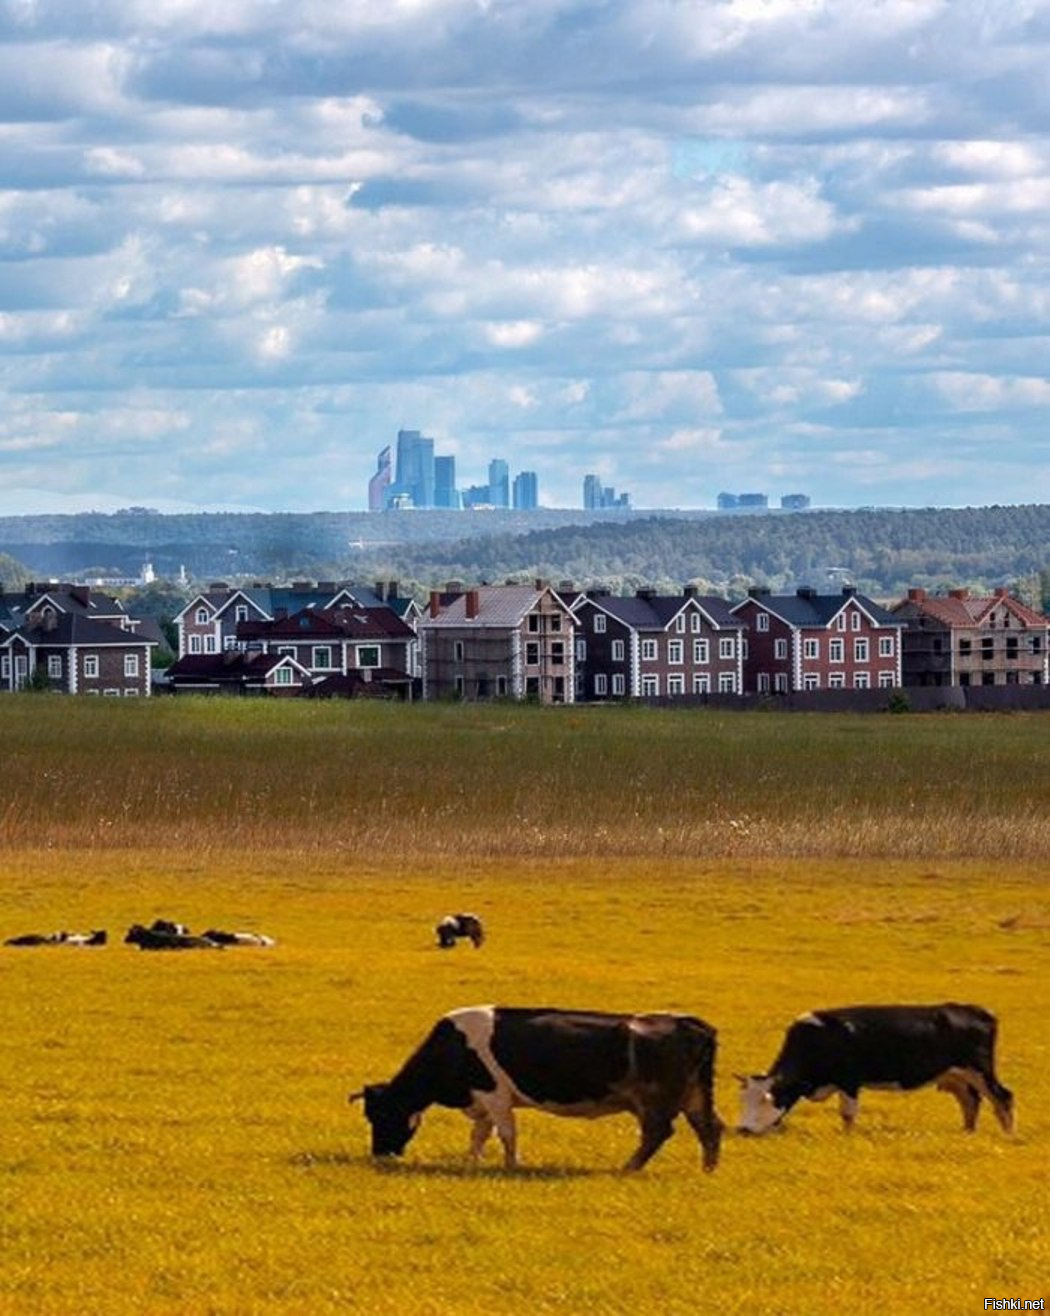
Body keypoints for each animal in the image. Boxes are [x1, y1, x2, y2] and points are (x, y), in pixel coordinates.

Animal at [352, 1005, 726, 1173]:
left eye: (381, 1115)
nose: (381, 1153)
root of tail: (688, 1022)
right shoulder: (481, 1100)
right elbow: (480, 1134)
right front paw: (472, 1160)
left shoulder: (495, 1094)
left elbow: (505, 1132)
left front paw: (512, 1164)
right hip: (695, 1094)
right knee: (710, 1127)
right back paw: (707, 1170)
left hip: (655, 1100)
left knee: (658, 1132)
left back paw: (627, 1168)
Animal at [736, 1000, 1015, 1137]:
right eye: (742, 1100)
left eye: (767, 1099)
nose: (744, 1130)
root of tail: (979, 1011)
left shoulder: (849, 1080)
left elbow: (848, 1113)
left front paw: (847, 1136)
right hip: (956, 1075)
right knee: (970, 1100)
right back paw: (967, 1132)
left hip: (980, 1069)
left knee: (1002, 1096)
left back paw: (1009, 1135)